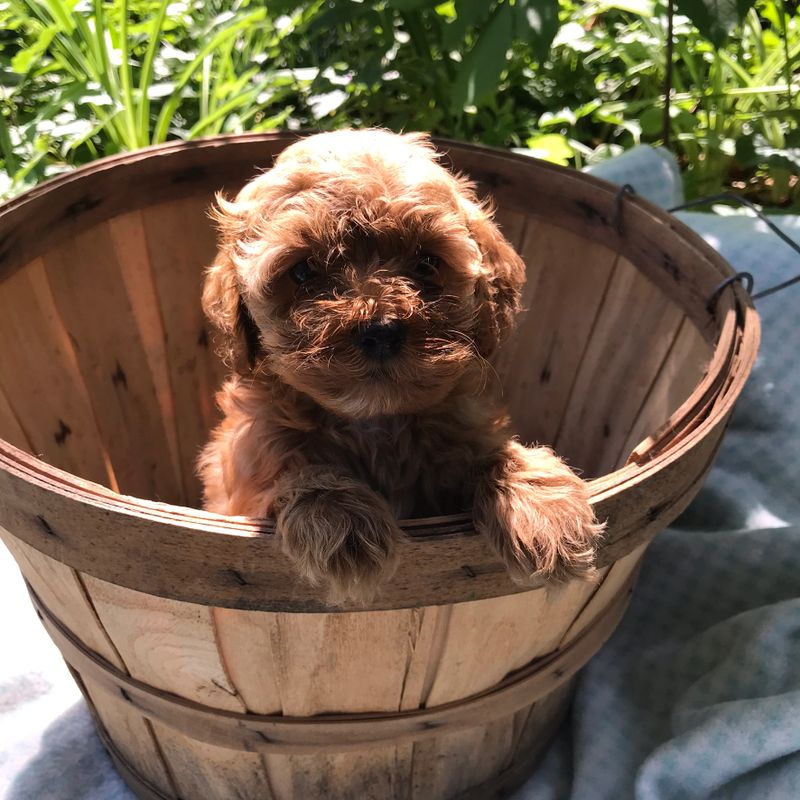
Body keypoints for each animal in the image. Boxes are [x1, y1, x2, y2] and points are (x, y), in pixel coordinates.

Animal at [197, 130, 604, 600]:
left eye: (426, 262)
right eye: (302, 272)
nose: (380, 330)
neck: (375, 420)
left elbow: (494, 453)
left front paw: (544, 510)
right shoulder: (242, 488)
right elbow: (293, 471)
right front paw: (340, 519)